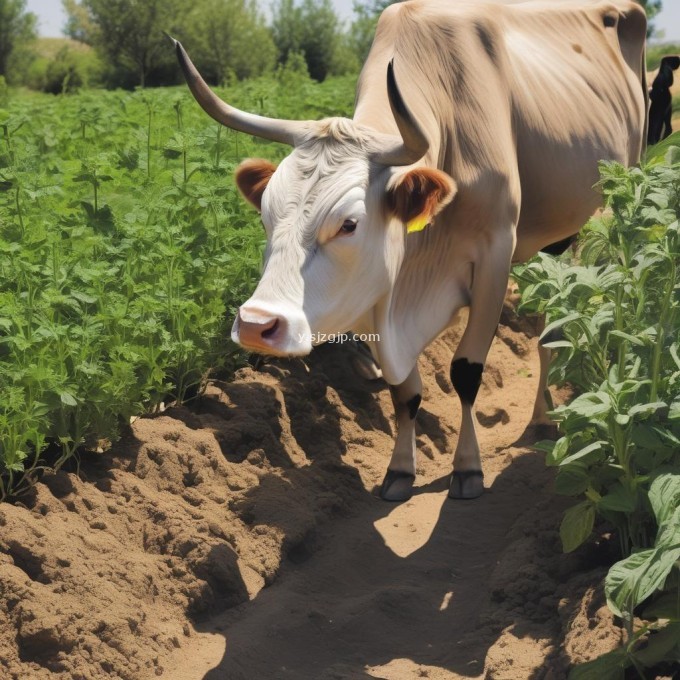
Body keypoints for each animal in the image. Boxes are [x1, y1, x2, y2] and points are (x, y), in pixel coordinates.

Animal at [171, 0, 648, 500]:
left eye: (349, 224)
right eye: (265, 215)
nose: (256, 325)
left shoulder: (494, 258)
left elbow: (466, 371)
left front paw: (468, 467)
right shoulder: (376, 295)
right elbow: (403, 388)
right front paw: (400, 468)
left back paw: (543, 419)